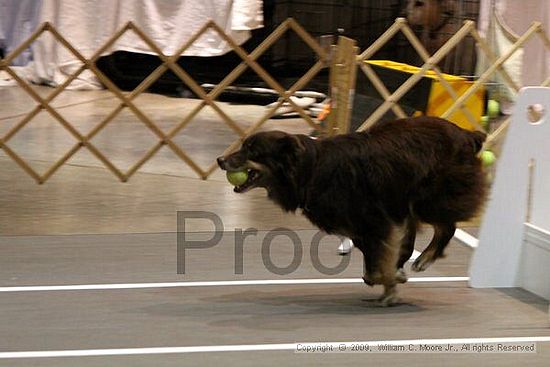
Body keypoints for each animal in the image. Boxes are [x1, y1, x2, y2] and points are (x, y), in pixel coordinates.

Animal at [219, 116, 488, 306]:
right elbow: (374, 267)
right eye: (243, 146)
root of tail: (467, 134)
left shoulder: (374, 222)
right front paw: (392, 281)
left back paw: (425, 258)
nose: (220, 160)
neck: (311, 169)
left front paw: (391, 286)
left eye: (252, 151)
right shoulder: (364, 229)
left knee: (447, 226)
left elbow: (378, 267)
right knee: (418, 235)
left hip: (428, 198)